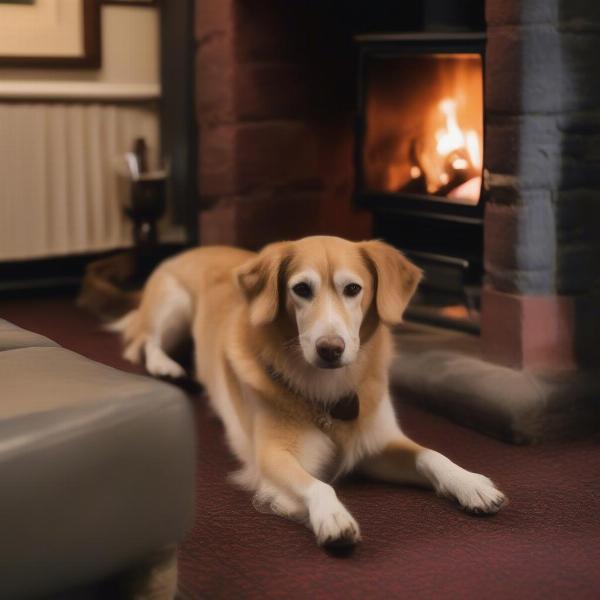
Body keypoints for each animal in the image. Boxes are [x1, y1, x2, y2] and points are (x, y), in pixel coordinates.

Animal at [112, 237, 506, 552]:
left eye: (353, 289)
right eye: (301, 289)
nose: (330, 348)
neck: (329, 389)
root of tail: (192, 248)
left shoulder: (377, 444)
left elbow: (431, 455)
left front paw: (470, 483)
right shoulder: (273, 457)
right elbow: (318, 486)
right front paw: (333, 517)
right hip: (173, 305)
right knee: (142, 342)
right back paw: (167, 367)